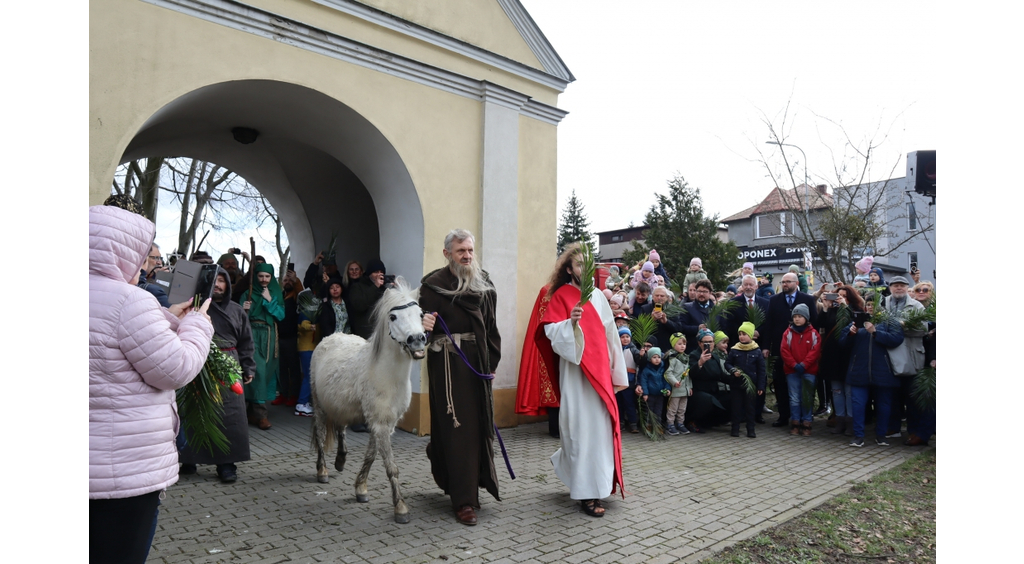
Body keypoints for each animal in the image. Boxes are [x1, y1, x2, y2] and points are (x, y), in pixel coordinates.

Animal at [309, 278, 425, 524]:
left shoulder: (384, 424)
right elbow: (391, 467)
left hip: (340, 405)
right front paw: (400, 508)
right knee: (321, 434)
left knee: (341, 427)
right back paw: (322, 471)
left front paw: (361, 488)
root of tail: (331, 337)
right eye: (393, 317)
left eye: (421, 314)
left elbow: (371, 456)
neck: (385, 373)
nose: (418, 341)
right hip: (319, 405)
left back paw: (341, 460)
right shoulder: (380, 424)